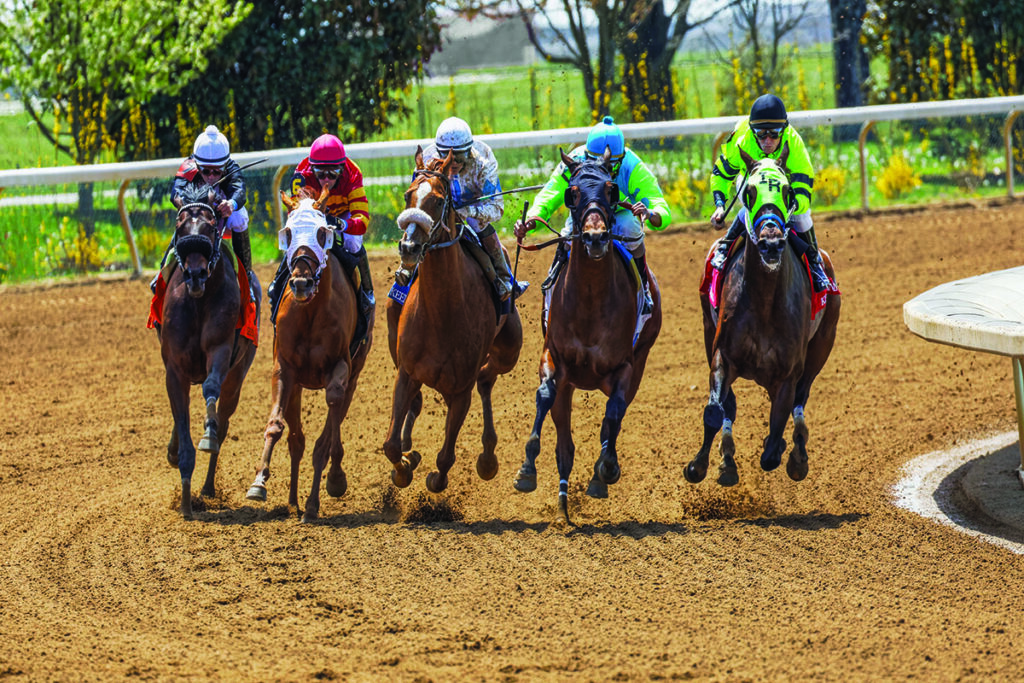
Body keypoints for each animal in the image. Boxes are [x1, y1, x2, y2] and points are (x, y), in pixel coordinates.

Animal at [157, 181, 260, 518]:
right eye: (180, 226)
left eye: (211, 225)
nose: (196, 274)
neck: (198, 300)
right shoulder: (174, 369)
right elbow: (179, 417)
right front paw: (185, 503)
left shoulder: (221, 349)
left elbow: (211, 390)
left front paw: (207, 435)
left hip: (239, 372)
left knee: (224, 420)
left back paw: (208, 487)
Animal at [243, 188, 372, 524]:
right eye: (287, 233)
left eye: (322, 232)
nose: (301, 282)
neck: (311, 311)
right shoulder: (284, 369)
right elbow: (276, 425)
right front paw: (259, 482)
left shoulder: (340, 369)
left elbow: (328, 433)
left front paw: (333, 482)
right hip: (298, 386)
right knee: (296, 440)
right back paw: (292, 503)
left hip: (355, 373)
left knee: (331, 421)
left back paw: (314, 500)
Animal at [385, 148, 528, 491]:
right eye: (408, 195)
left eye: (438, 201)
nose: (408, 248)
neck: (441, 314)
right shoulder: (406, 373)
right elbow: (391, 445)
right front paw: (403, 466)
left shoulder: (460, 390)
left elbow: (444, 460)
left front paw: (431, 474)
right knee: (420, 403)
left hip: (509, 351)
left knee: (486, 378)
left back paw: (488, 458)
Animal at [512, 148, 663, 524]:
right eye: (573, 191)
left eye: (611, 189)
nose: (595, 238)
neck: (591, 301)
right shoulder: (553, 357)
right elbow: (545, 396)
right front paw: (526, 470)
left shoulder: (624, 367)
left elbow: (613, 414)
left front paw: (606, 468)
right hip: (571, 383)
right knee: (564, 439)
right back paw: (564, 498)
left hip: (639, 361)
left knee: (615, 416)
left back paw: (597, 478)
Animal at [688, 148, 839, 485]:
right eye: (749, 191)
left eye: (787, 191)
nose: (771, 243)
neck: (764, 302)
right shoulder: (722, 354)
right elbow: (714, 411)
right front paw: (699, 465)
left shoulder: (788, 373)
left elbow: (772, 445)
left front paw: (789, 453)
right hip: (706, 330)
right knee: (729, 405)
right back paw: (728, 458)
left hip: (822, 346)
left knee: (800, 398)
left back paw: (796, 451)